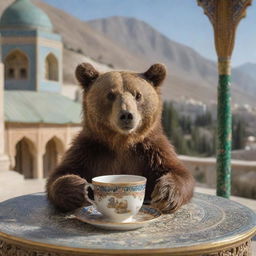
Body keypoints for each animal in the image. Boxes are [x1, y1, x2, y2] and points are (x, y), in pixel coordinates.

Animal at [46, 63, 194, 213]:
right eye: (110, 95)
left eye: (138, 95)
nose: (127, 115)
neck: (122, 142)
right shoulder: (89, 150)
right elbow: (60, 173)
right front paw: (78, 189)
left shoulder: (152, 152)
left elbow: (178, 172)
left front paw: (165, 194)